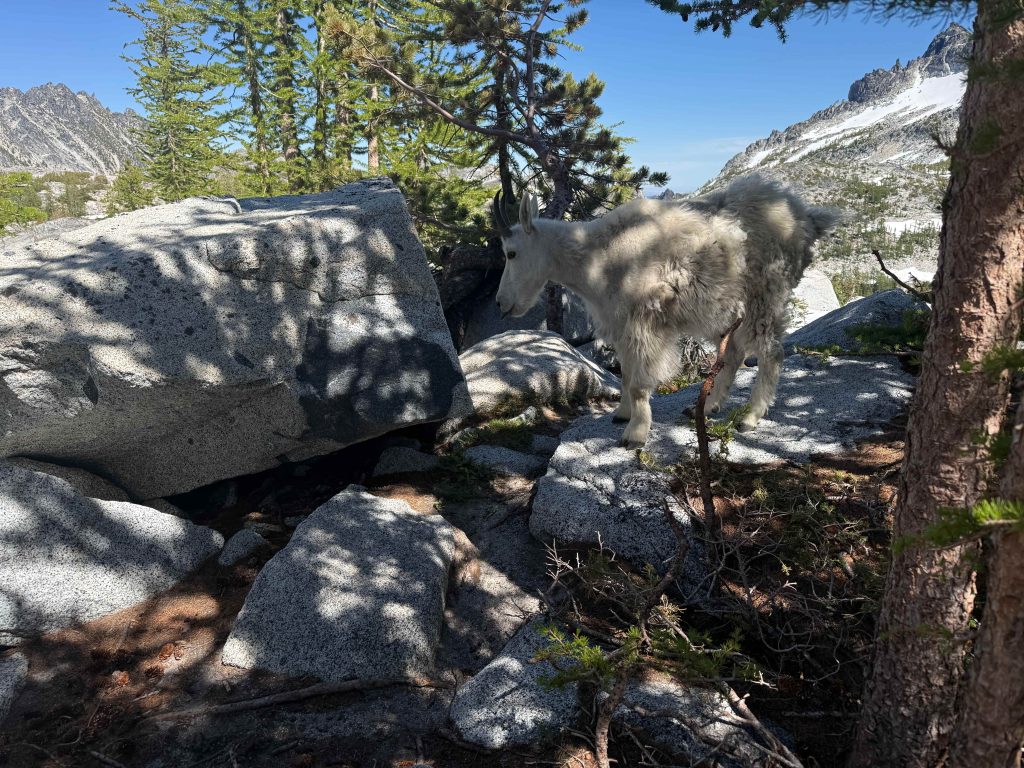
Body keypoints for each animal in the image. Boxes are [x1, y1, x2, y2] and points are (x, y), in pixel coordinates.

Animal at [492, 175, 839, 447]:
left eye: (511, 253)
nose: (500, 304)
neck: (597, 256)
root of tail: (807, 218)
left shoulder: (644, 323)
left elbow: (639, 382)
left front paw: (635, 434)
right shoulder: (621, 324)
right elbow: (626, 374)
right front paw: (622, 414)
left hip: (766, 296)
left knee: (771, 352)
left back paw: (750, 417)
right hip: (724, 310)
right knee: (733, 354)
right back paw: (707, 408)